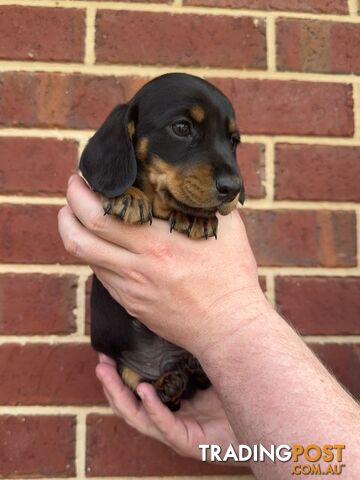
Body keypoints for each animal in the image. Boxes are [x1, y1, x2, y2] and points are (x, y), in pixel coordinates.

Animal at [80, 73, 245, 410]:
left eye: (233, 141)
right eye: (181, 127)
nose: (234, 189)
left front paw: (196, 217)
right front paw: (128, 197)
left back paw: (191, 369)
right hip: (124, 366)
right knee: (142, 384)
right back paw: (169, 382)